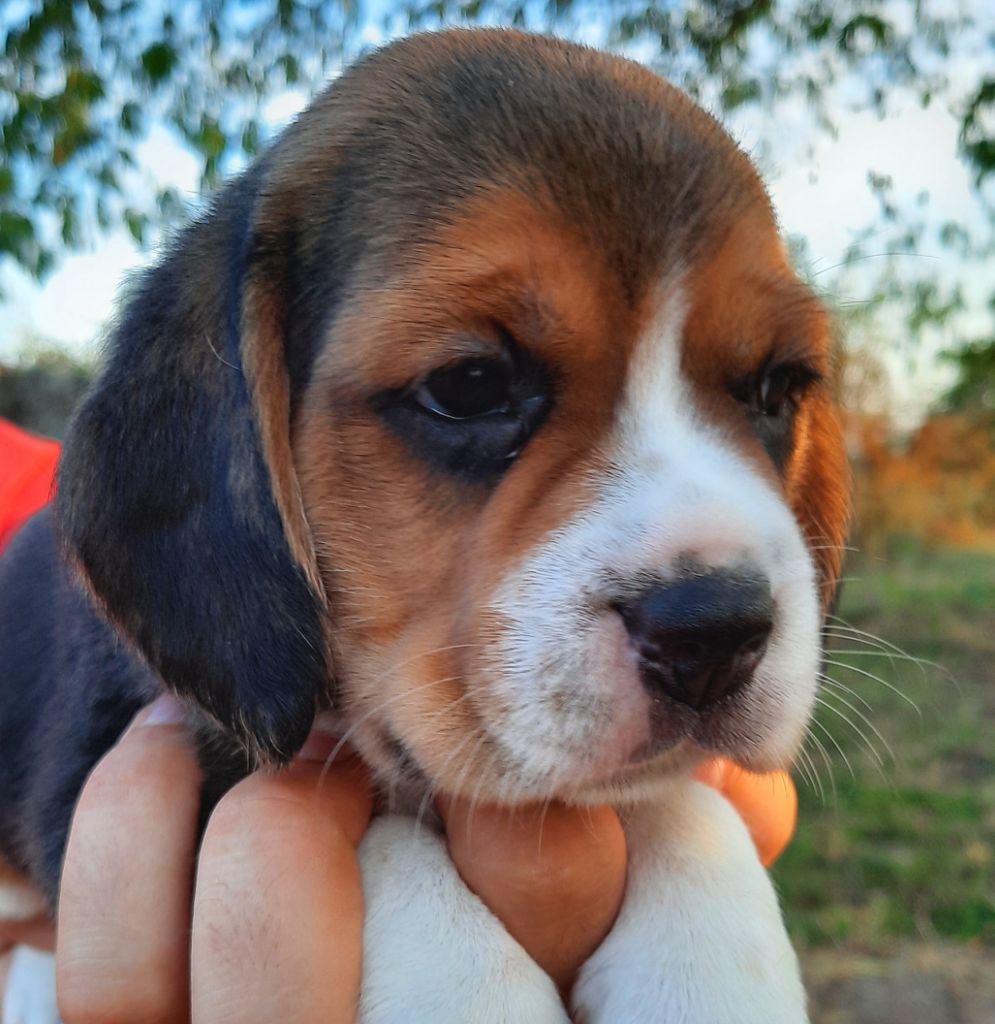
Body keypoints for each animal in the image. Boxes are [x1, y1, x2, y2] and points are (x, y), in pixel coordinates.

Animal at [1, 29, 847, 1024]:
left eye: (776, 390)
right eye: (469, 386)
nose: (715, 631)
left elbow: (682, 803)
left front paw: (705, 962)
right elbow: (376, 837)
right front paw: (462, 975)